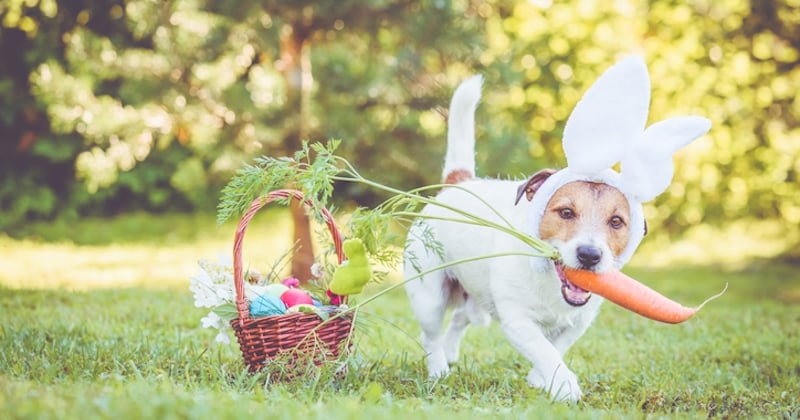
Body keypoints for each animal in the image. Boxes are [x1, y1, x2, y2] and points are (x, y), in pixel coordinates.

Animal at [404, 55, 708, 400]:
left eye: (616, 221)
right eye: (565, 212)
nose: (589, 255)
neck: (550, 280)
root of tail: (459, 183)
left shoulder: (578, 322)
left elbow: (557, 347)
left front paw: (540, 379)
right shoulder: (518, 321)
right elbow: (544, 349)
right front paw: (564, 386)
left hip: (474, 298)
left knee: (459, 318)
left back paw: (452, 354)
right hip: (429, 294)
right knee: (430, 334)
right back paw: (438, 369)